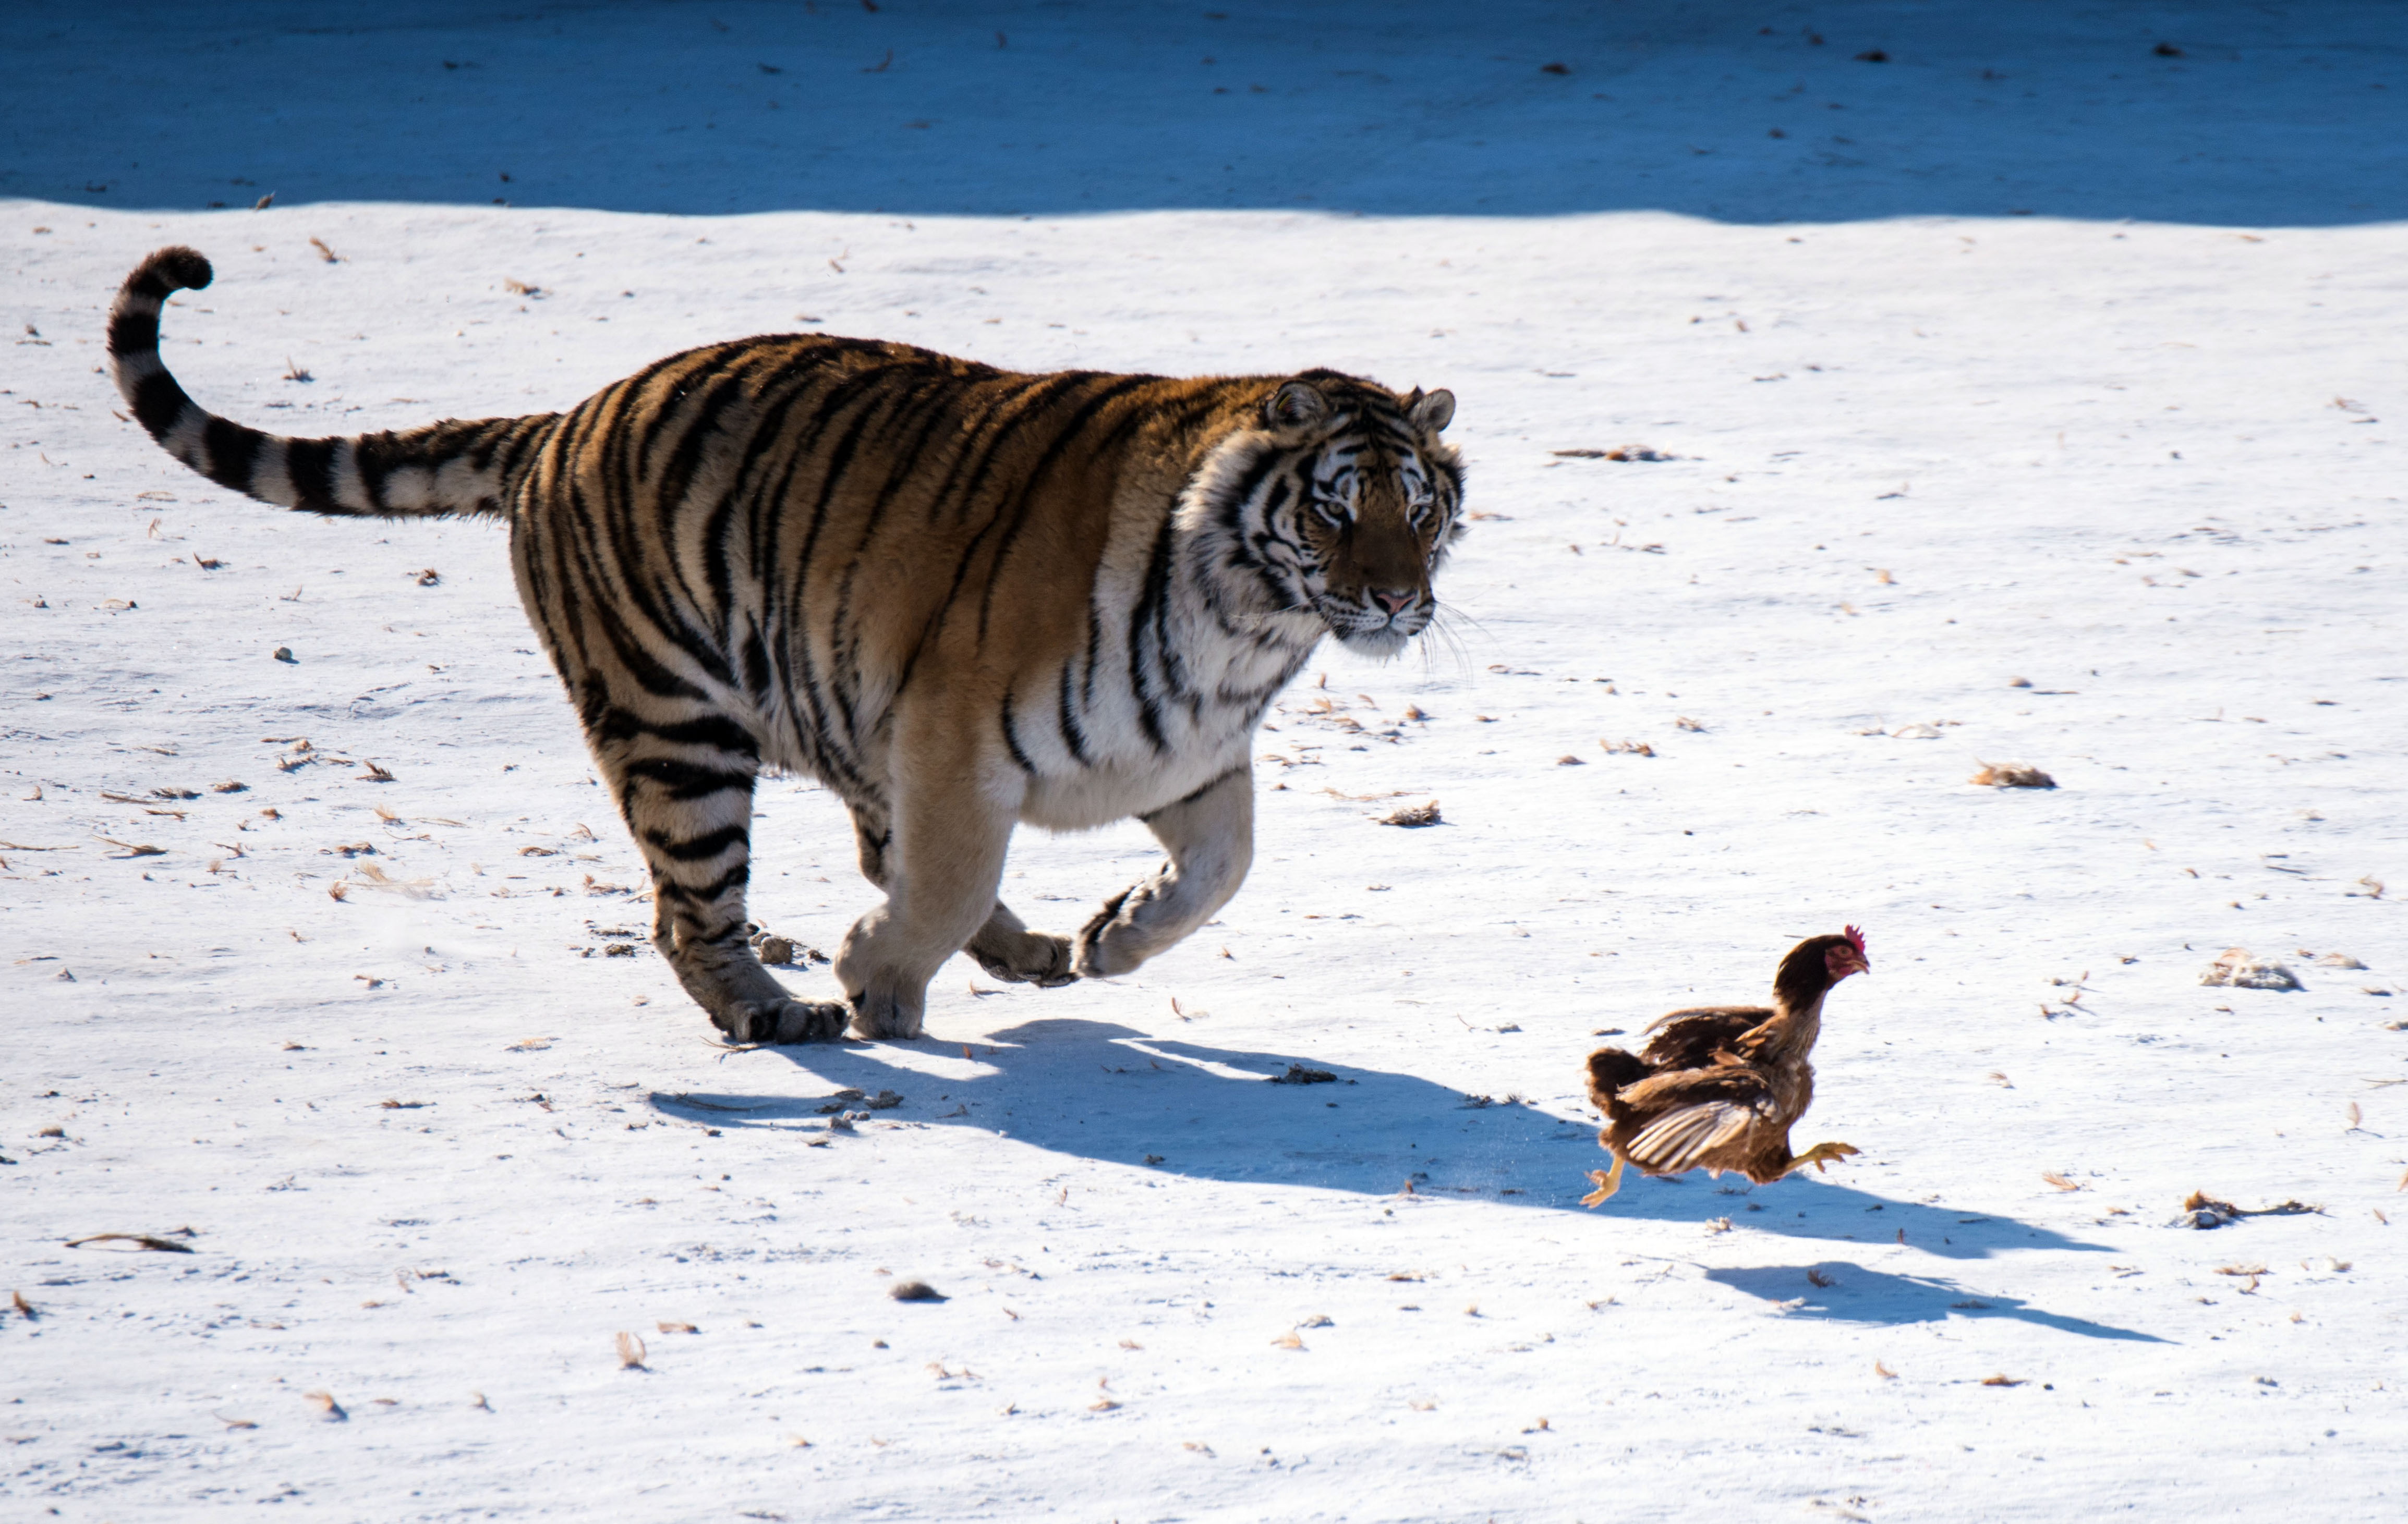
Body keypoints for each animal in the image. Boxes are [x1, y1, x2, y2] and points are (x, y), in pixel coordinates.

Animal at [108, 247, 1464, 1045]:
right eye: (1335, 509)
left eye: (1419, 507)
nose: (1397, 600)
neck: (1248, 625)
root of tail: (562, 419)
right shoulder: (955, 735)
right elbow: (944, 874)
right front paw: (876, 977)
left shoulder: (1176, 750)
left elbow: (1224, 866)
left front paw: (1111, 935)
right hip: (675, 725)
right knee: (694, 909)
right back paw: (784, 1014)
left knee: (861, 850)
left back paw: (1026, 954)